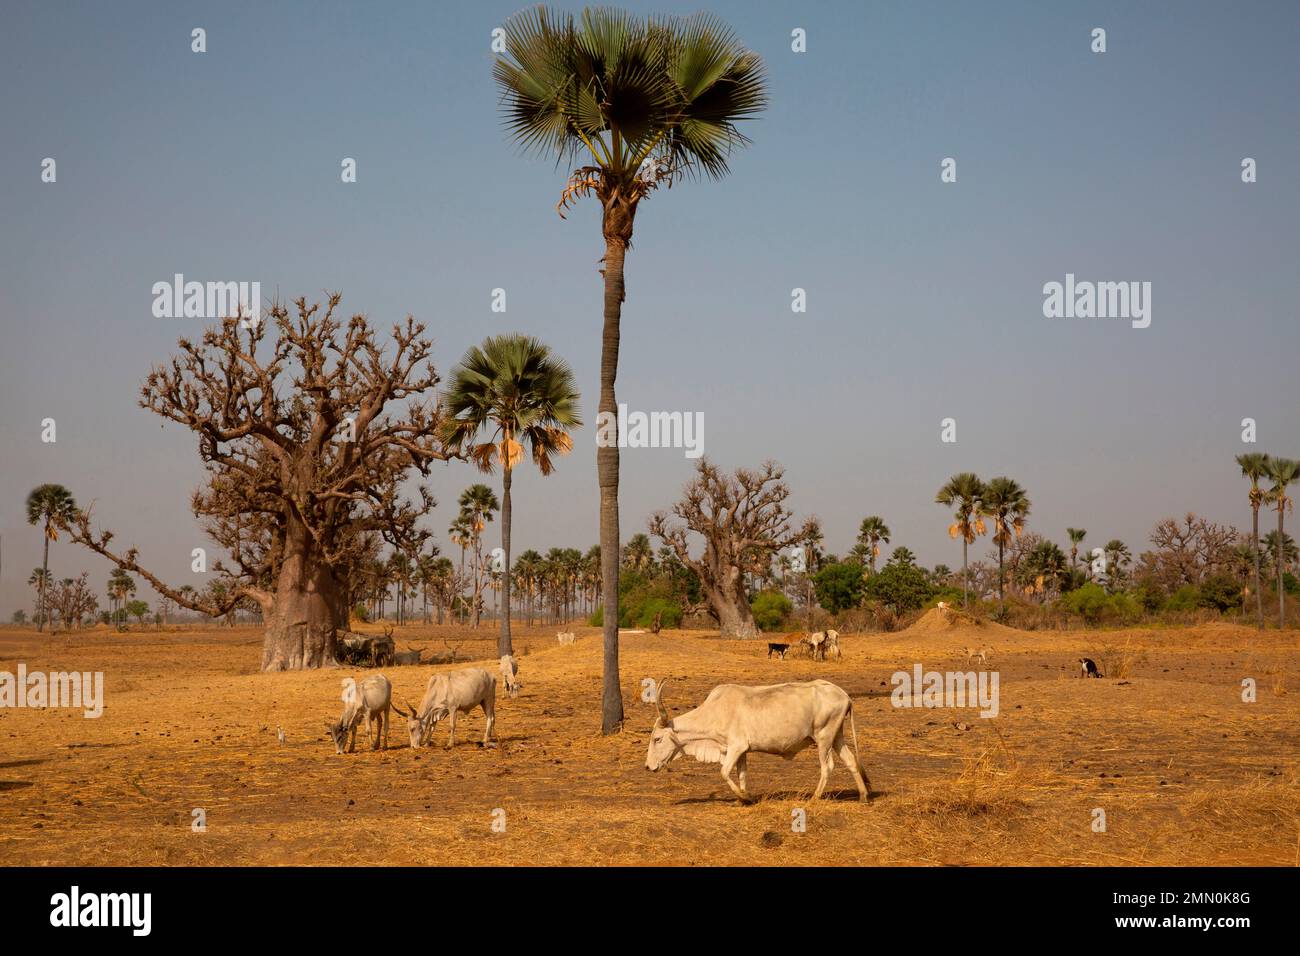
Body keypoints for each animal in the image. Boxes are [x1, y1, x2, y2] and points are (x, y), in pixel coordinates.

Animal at [642, 676, 868, 806]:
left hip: (823, 738)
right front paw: (742, 798)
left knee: (827, 766)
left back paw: (814, 798)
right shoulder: (742, 752)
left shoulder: (736, 747)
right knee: (851, 761)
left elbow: (724, 772)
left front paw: (745, 797)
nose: (648, 766)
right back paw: (863, 796)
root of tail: (845, 695)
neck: (716, 711)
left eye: (657, 739)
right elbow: (741, 775)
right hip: (836, 736)